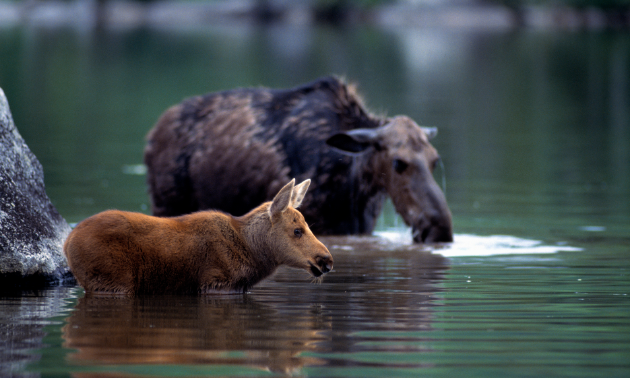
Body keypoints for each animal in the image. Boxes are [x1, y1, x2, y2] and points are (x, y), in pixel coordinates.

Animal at [63, 179, 336, 296]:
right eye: (297, 231)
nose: (327, 260)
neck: (253, 254)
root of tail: (67, 242)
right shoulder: (216, 283)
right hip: (111, 281)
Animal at [147, 75, 454, 244]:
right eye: (398, 163)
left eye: (435, 160)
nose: (440, 229)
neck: (355, 179)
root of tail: (151, 135)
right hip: (165, 202)